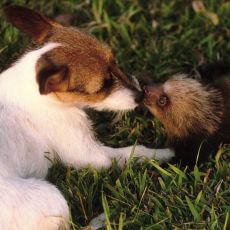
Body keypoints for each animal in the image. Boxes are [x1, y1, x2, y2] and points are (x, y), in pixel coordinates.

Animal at [0, 5, 173, 230]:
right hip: (52, 197)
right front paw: (166, 153)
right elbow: (136, 152)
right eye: (103, 86)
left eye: (115, 61)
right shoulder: (91, 155)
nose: (141, 95)